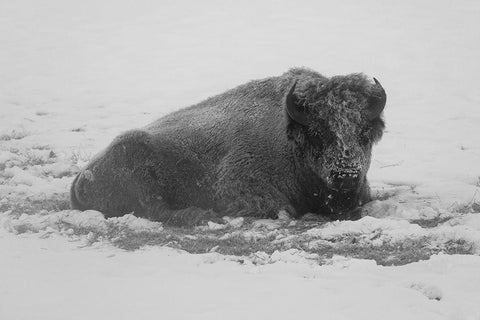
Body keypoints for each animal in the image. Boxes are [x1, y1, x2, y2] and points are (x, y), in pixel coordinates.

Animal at [71, 67, 386, 225]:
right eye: (319, 133)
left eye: (364, 132)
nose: (346, 175)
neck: (291, 140)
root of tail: (81, 178)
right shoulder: (241, 190)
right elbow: (282, 209)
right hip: (136, 159)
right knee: (155, 209)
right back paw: (200, 215)